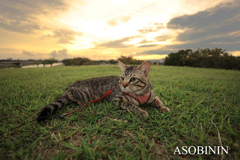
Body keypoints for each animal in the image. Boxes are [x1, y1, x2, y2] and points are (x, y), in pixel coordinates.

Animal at [36, 60, 170, 121]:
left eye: (133, 79)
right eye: (122, 78)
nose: (123, 85)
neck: (141, 94)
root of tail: (70, 86)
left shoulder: (152, 96)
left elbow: (158, 101)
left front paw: (164, 108)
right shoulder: (117, 100)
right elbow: (131, 106)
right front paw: (141, 111)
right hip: (86, 94)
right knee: (70, 95)